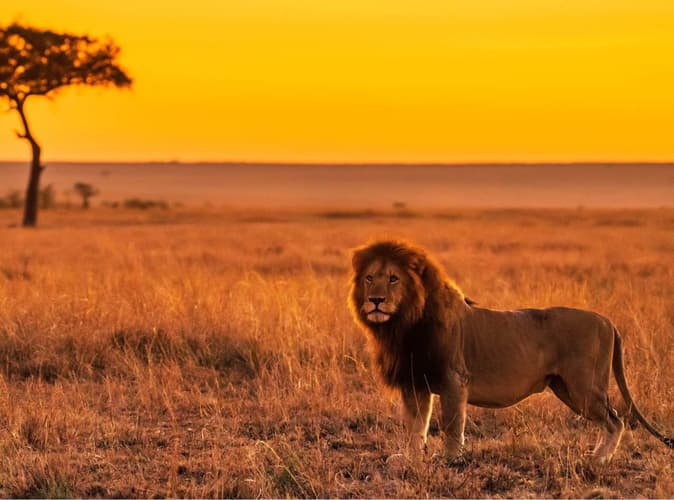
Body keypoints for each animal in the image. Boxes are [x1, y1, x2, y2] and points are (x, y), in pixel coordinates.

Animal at [348, 239, 673, 464]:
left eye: (393, 279)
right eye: (369, 278)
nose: (375, 301)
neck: (403, 325)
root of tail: (607, 321)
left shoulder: (454, 379)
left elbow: (452, 424)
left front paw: (451, 459)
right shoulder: (415, 382)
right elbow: (416, 425)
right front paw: (411, 458)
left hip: (584, 387)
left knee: (616, 420)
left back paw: (598, 460)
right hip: (566, 389)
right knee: (613, 419)